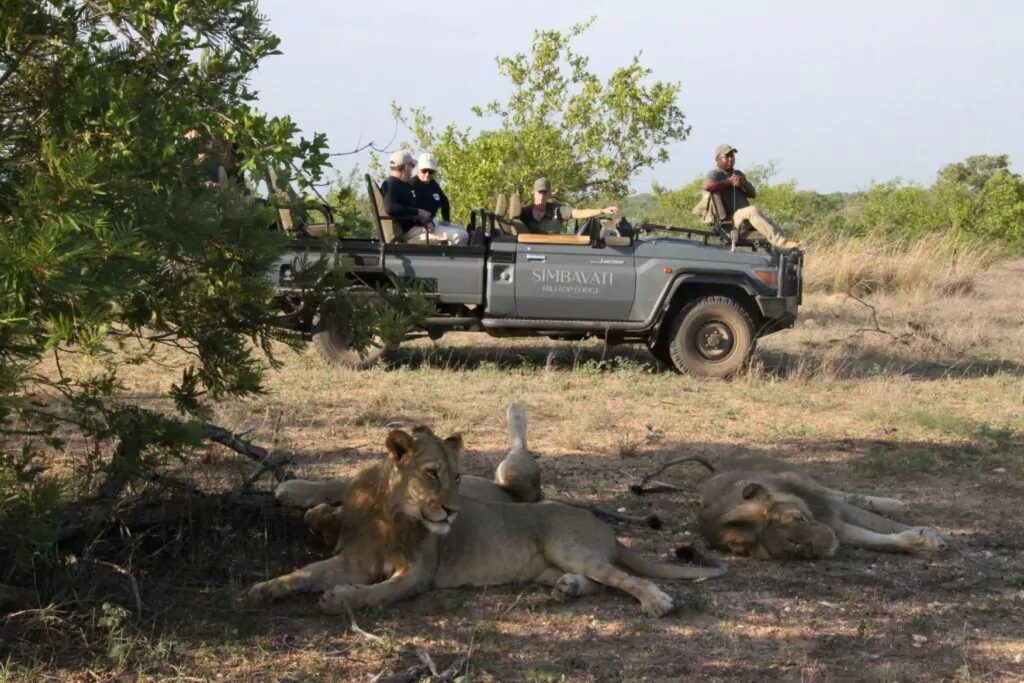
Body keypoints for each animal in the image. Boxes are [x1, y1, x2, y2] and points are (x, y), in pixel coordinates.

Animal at [247, 424, 727, 618]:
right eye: (432, 473)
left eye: (458, 476)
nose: (452, 511)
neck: (394, 515)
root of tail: (602, 525)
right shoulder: (354, 560)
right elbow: (306, 572)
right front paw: (265, 590)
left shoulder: (417, 575)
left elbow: (376, 594)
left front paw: (338, 599)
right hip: (547, 565)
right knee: (594, 582)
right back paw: (567, 588)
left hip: (567, 545)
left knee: (623, 578)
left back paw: (657, 602)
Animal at [661, 454, 949, 560]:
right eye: (795, 547)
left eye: (798, 518)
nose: (829, 541)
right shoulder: (836, 524)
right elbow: (877, 539)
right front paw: (918, 543)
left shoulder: (828, 510)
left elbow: (881, 523)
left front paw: (929, 535)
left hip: (805, 482)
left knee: (841, 494)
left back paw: (896, 503)